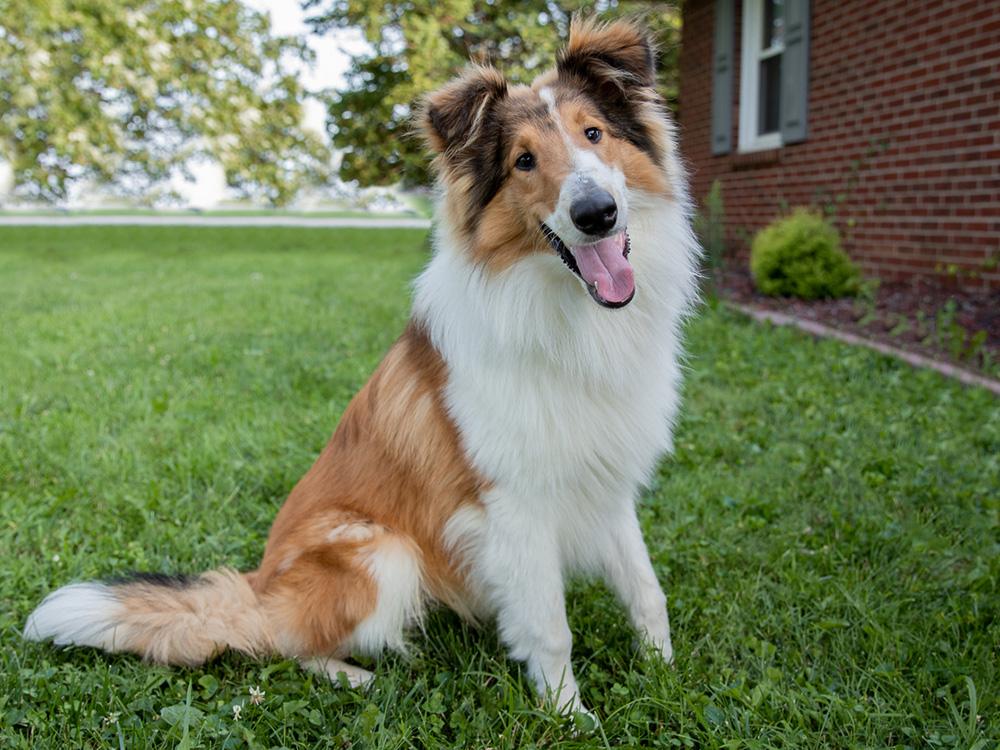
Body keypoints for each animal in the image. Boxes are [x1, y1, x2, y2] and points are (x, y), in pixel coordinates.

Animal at [23, 19, 700, 716]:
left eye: (593, 133)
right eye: (524, 161)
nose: (598, 213)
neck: (566, 312)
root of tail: (260, 584)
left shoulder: (607, 482)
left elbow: (646, 589)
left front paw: (664, 673)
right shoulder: (514, 503)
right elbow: (550, 627)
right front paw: (569, 715)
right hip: (382, 553)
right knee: (282, 641)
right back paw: (357, 677)